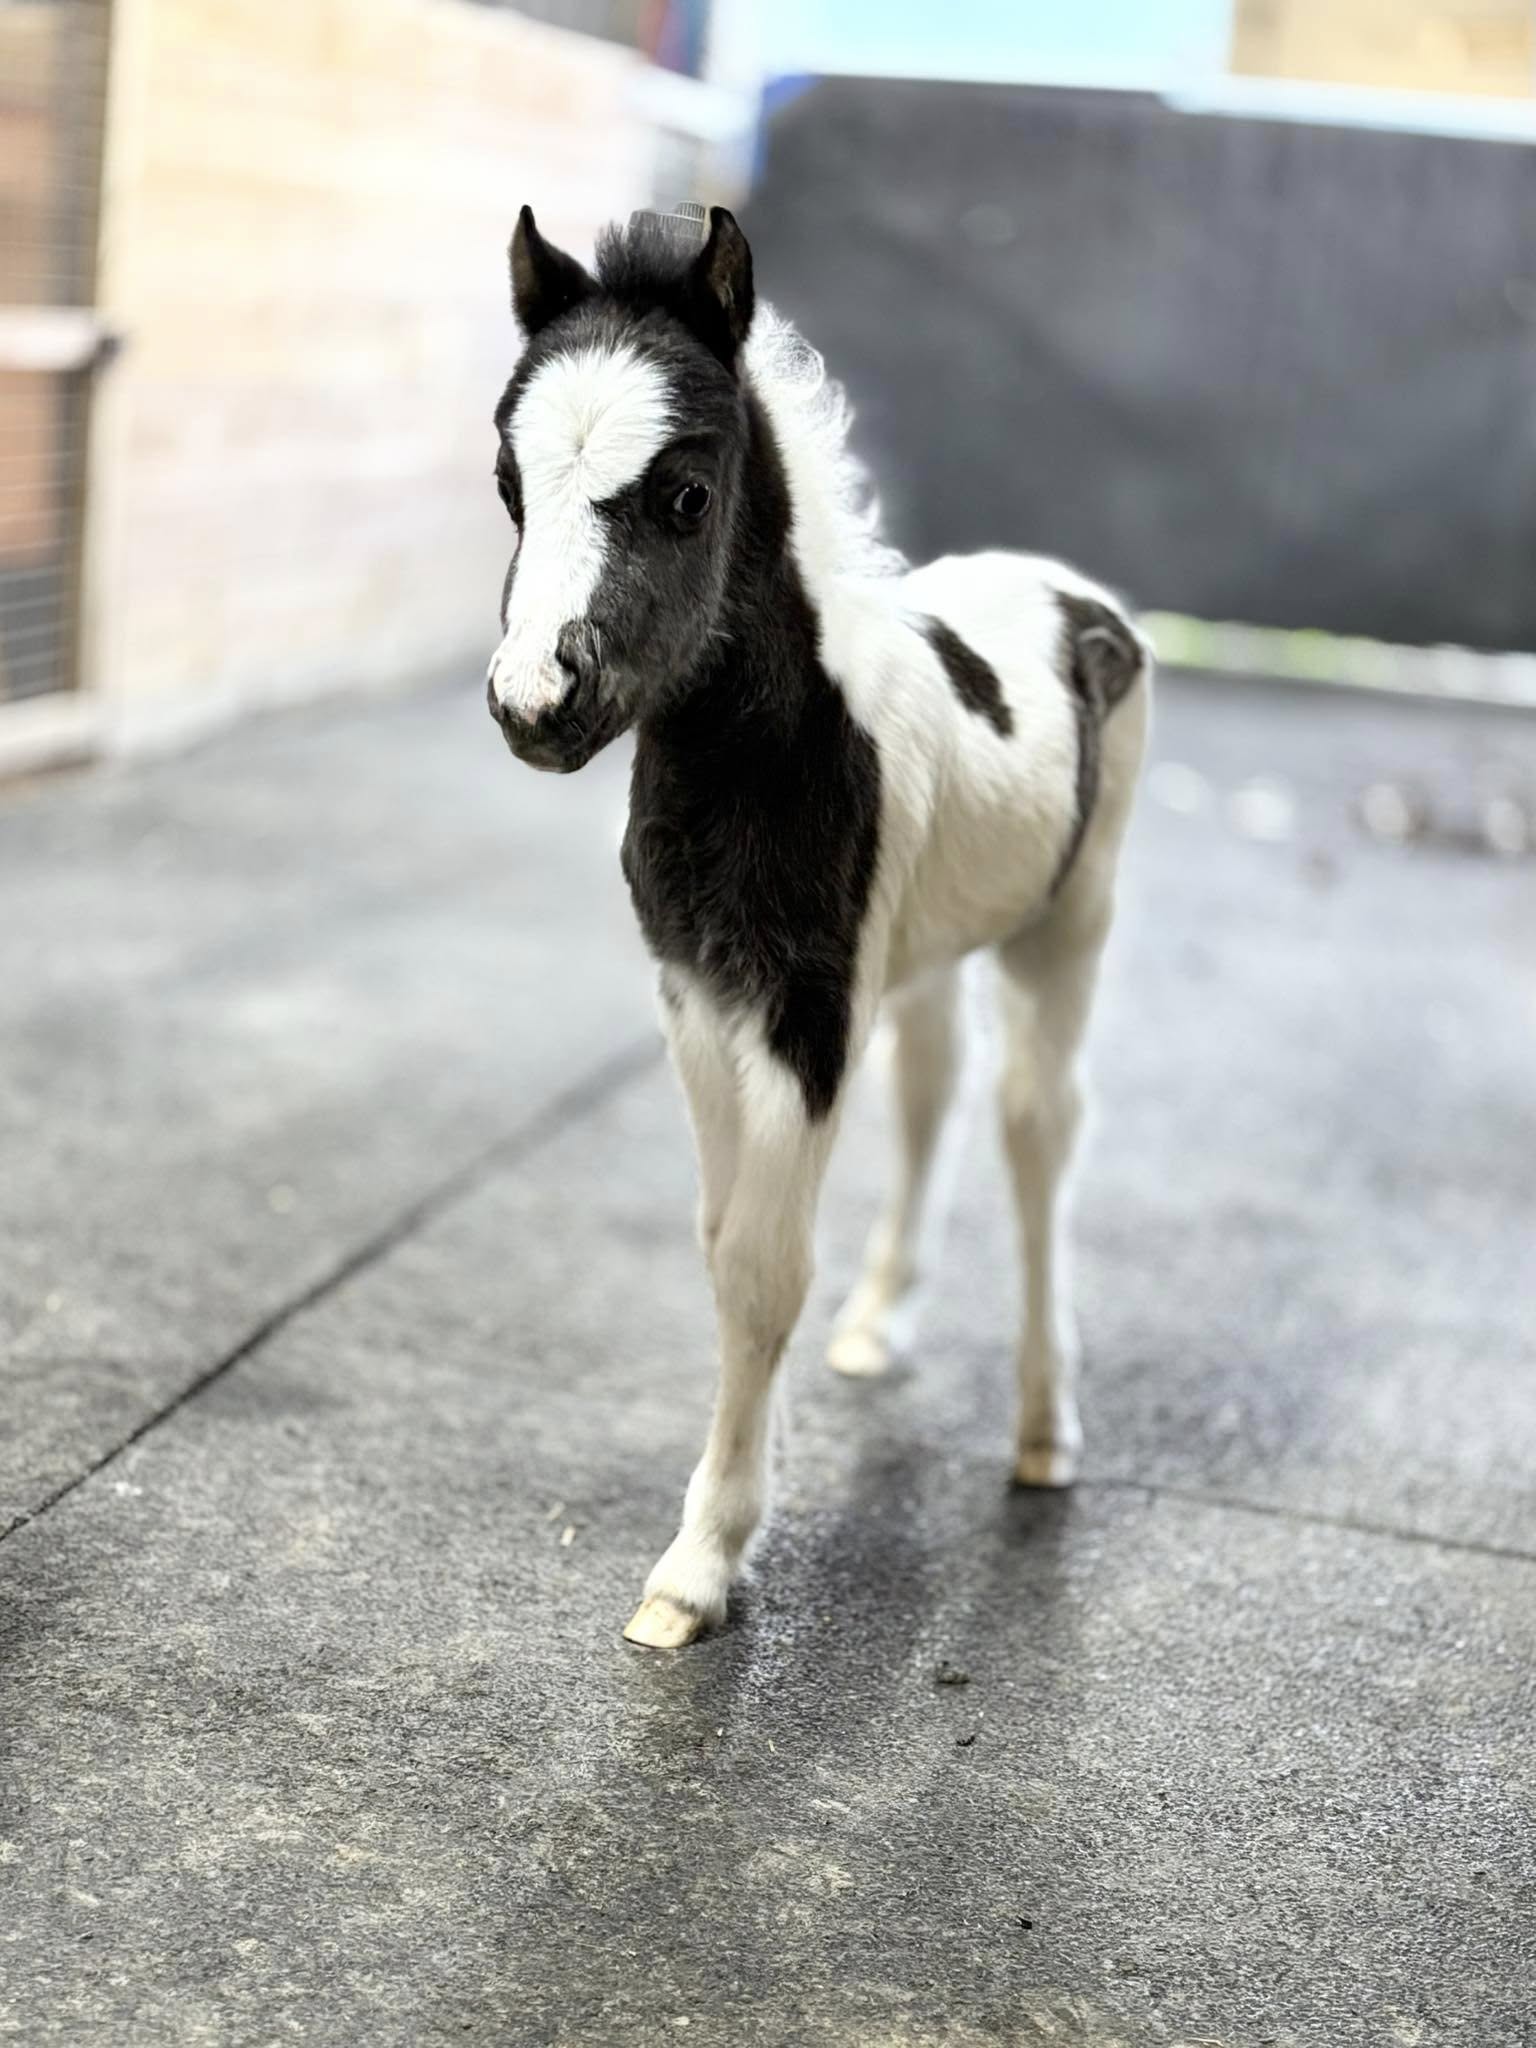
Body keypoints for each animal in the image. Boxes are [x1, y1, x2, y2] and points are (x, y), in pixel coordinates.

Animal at [487, 202, 1150, 1649]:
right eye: (510, 481)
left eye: (684, 494)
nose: (534, 704)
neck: (773, 749)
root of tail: (1071, 589)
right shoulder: (698, 997)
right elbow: (718, 1237)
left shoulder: (802, 1012)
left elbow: (760, 1265)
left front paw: (700, 1565)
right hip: (921, 947)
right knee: (935, 1086)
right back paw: (879, 1323)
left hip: (1069, 923)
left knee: (1039, 1127)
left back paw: (1045, 1427)